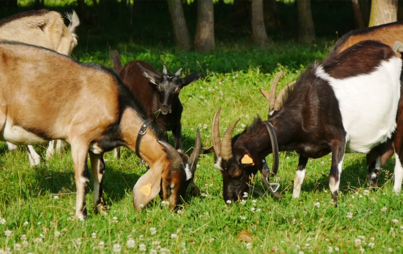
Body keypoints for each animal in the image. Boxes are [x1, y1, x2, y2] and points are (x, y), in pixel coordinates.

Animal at [0, 41, 202, 220]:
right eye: (169, 182)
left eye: (187, 183)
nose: (174, 208)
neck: (117, 103)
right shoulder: (79, 138)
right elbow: (83, 177)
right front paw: (81, 216)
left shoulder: (96, 146)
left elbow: (100, 173)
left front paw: (101, 209)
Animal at [211, 39, 403, 202]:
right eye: (221, 171)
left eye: (236, 172)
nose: (229, 200)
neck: (309, 105)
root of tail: (393, 54)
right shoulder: (304, 146)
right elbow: (298, 177)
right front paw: (295, 201)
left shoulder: (339, 139)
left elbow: (333, 179)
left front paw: (334, 205)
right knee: (375, 162)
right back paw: (371, 191)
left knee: (399, 160)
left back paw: (395, 192)